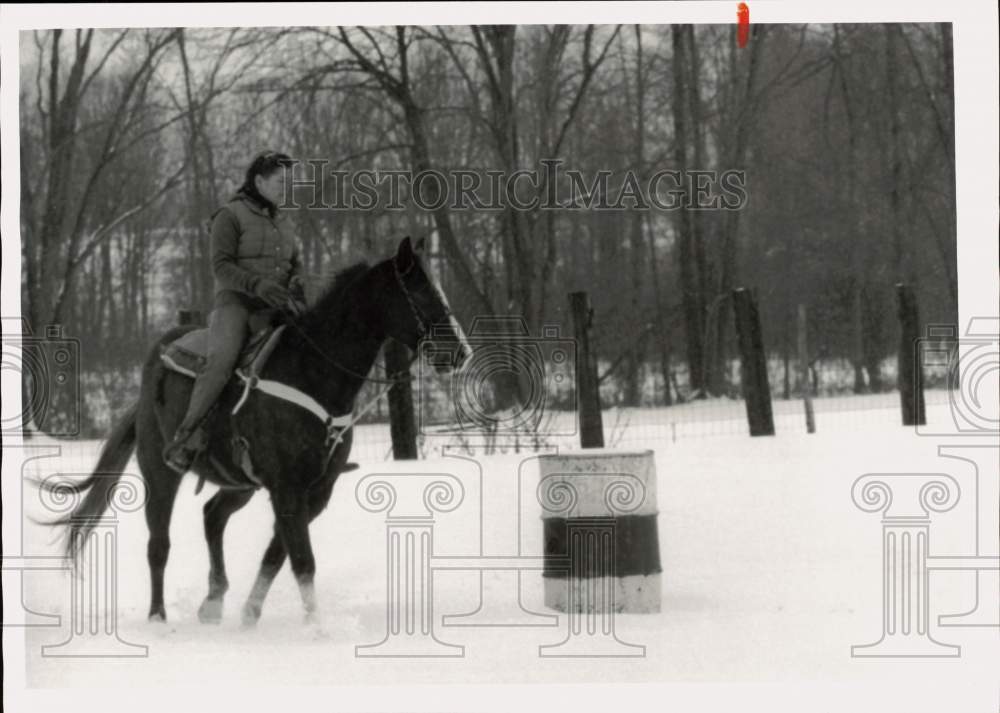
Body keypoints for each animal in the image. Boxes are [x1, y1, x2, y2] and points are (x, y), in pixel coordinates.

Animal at [46, 236, 471, 627]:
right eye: (422, 292)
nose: (460, 352)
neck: (313, 372)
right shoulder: (287, 487)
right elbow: (302, 559)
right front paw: (317, 630)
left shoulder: (315, 491)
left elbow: (277, 553)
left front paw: (252, 612)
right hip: (160, 470)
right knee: (159, 544)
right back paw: (158, 618)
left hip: (239, 483)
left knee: (212, 515)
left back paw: (213, 602)